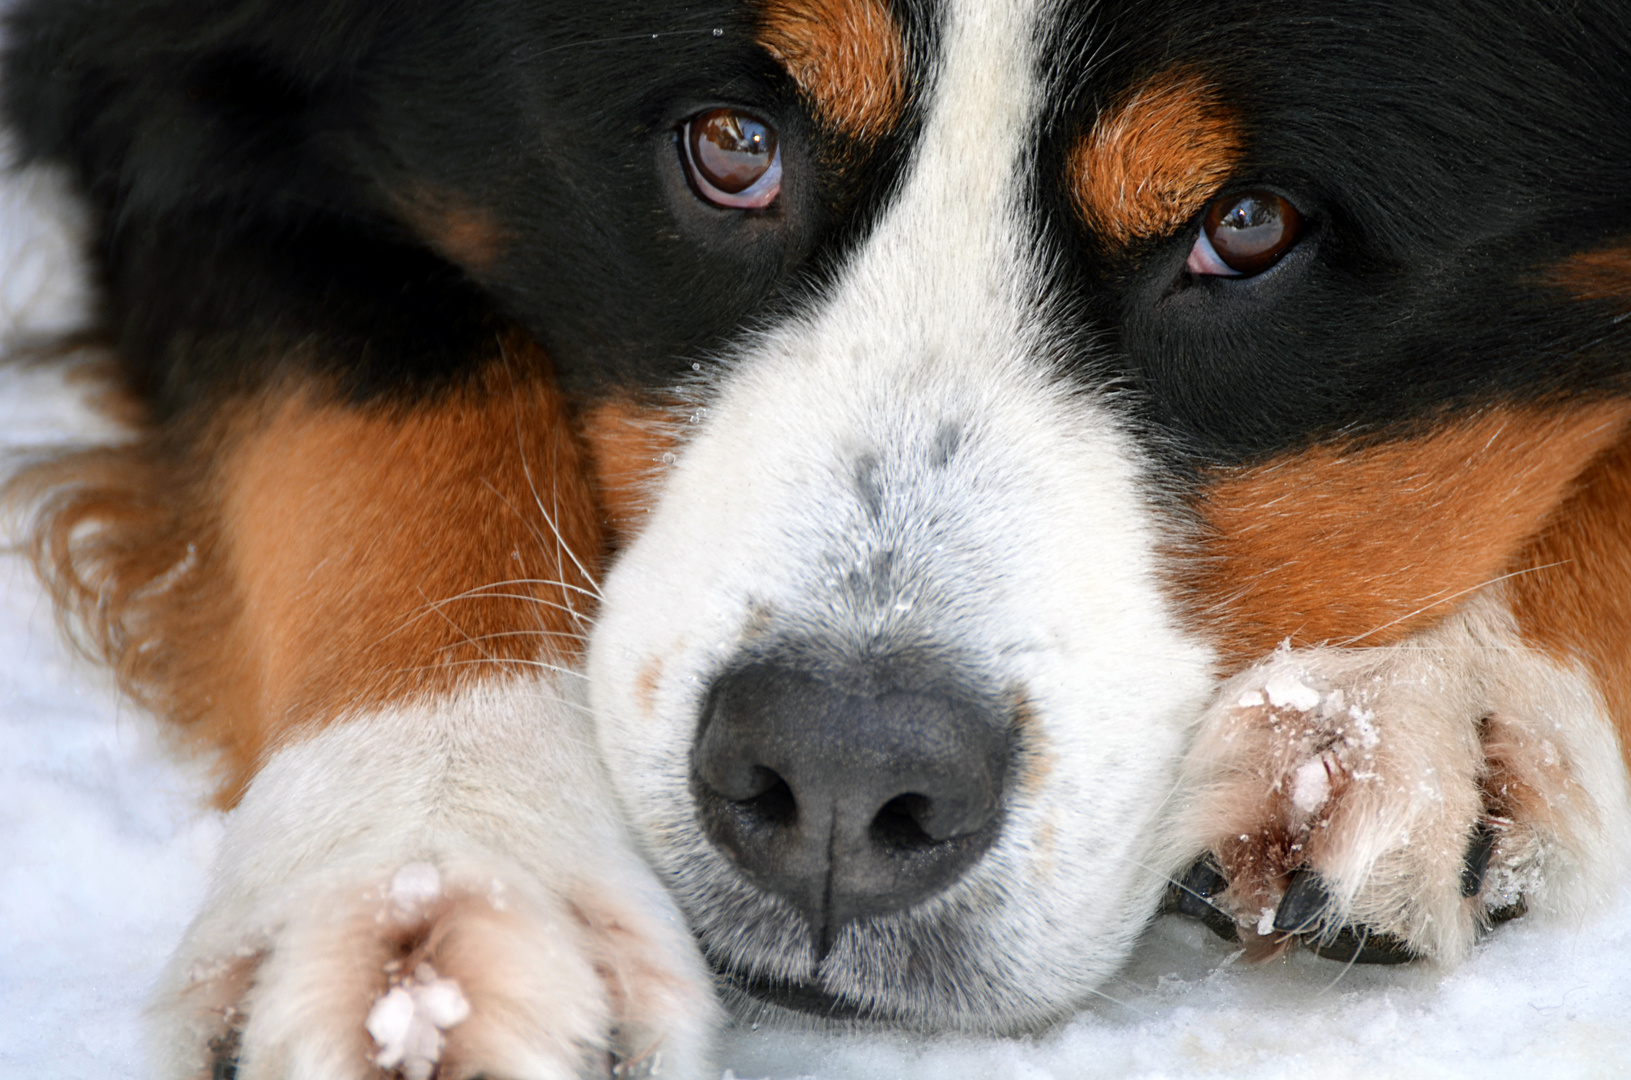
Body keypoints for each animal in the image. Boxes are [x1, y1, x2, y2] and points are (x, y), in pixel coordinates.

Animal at [3, 0, 1631, 1076]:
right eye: (728, 145)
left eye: (1249, 226)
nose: (840, 784)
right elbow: (380, 403)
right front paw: (436, 871)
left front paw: (1423, 689)